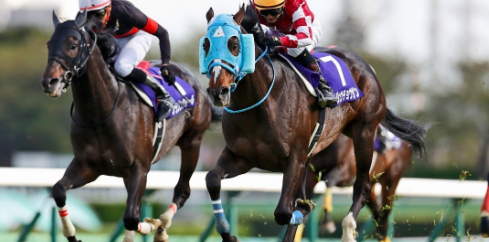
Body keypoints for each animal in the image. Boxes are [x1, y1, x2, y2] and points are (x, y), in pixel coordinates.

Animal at [40, 10, 221, 241]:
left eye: (73, 45)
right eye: (49, 44)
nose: (49, 82)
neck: (101, 112)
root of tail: (194, 81)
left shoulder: (139, 168)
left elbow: (131, 218)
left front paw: (151, 224)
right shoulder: (87, 166)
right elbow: (58, 190)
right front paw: (71, 234)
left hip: (192, 142)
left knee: (182, 190)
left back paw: (161, 226)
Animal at [200, 4, 426, 242]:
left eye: (234, 45)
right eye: (206, 45)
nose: (218, 91)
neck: (261, 102)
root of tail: (365, 67)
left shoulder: (296, 158)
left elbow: (285, 211)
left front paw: (310, 212)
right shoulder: (242, 157)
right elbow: (212, 179)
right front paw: (227, 233)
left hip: (369, 139)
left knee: (364, 189)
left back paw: (348, 229)